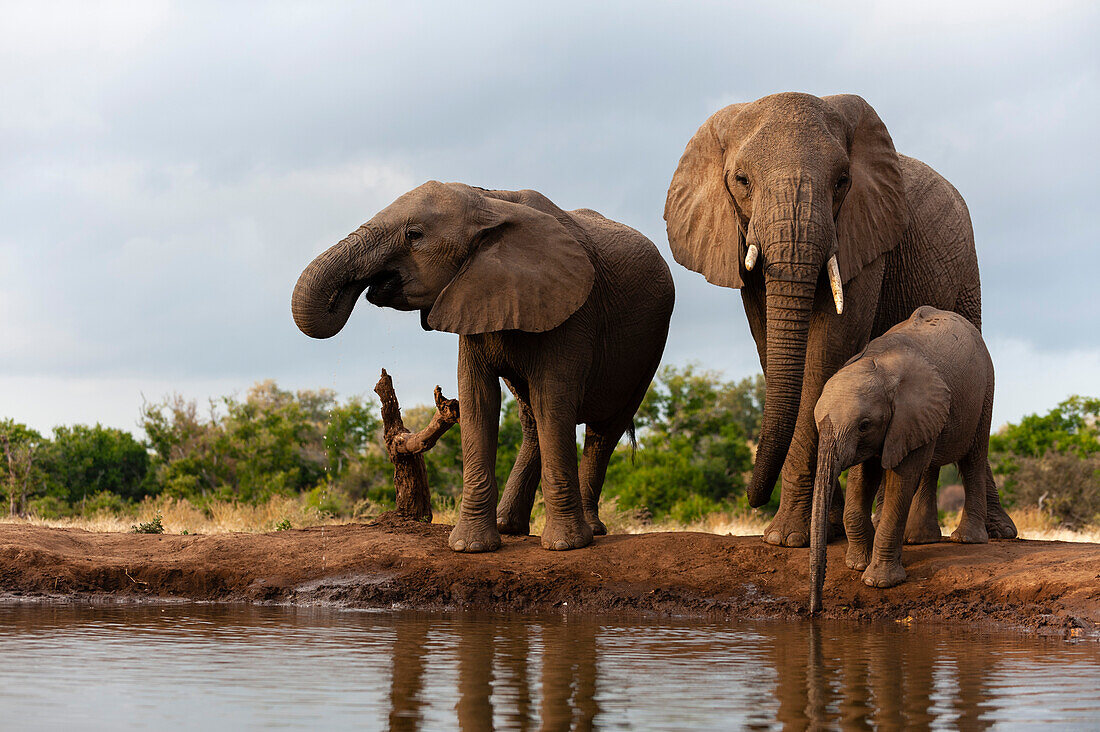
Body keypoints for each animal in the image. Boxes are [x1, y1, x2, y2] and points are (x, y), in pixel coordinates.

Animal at [290, 183, 668, 554]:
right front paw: (470, 547)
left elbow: (554, 401)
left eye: (414, 234)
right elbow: (477, 400)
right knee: (531, 419)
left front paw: (565, 546)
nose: (359, 287)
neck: (490, 202)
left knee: (602, 431)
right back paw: (509, 526)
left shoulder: (573, 312)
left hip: (650, 348)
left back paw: (590, 531)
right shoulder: (473, 298)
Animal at [660, 91, 1012, 545]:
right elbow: (769, 345)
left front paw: (791, 538)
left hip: (967, 268)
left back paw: (984, 533)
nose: (752, 499)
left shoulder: (865, 236)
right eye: (741, 181)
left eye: (842, 181)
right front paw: (818, 530)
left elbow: (830, 347)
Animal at [809, 306, 1012, 607]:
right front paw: (858, 564)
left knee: (973, 457)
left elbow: (900, 481)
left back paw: (967, 540)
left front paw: (879, 582)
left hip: (985, 388)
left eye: (864, 425)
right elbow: (862, 477)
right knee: (930, 464)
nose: (816, 609)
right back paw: (919, 540)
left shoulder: (906, 414)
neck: (877, 362)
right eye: (817, 421)